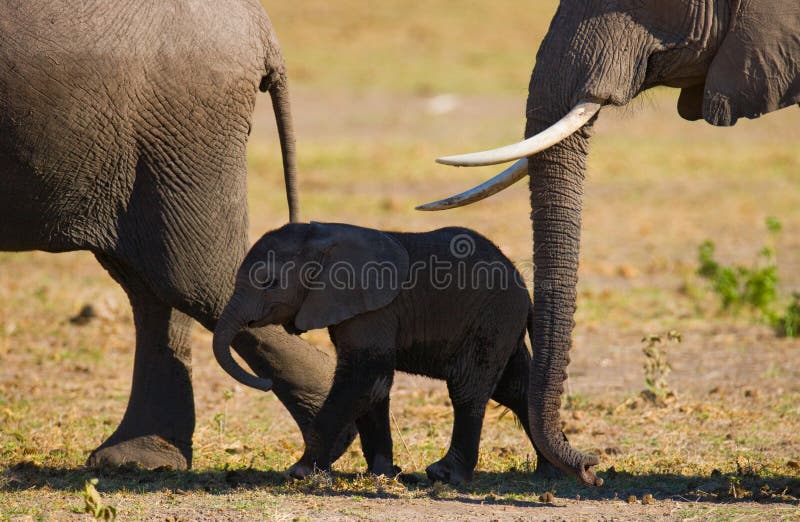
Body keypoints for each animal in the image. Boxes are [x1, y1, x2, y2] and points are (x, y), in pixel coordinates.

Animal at [209, 220, 552, 484]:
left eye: (268, 281)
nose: (266, 384)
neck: (323, 239)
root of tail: (524, 286)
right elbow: (373, 387)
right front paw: (383, 473)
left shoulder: (374, 310)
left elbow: (365, 379)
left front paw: (301, 473)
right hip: (501, 324)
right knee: (516, 389)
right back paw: (548, 472)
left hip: (491, 318)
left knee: (467, 389)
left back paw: (444, 475)